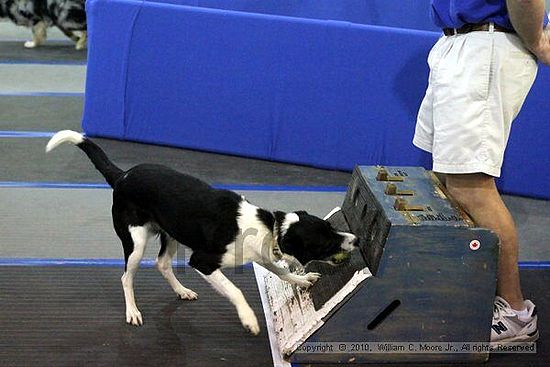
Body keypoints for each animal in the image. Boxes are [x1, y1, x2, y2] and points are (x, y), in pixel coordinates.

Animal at [46, 131, 358, 334]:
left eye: (332, 227)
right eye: (325, 241)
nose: (355, 239)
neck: (269, 228)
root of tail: (122, 176)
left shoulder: (262, 254)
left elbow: (280, 271)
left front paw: (301, 280)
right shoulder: (203, 262)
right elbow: (235, 290)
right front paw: (249, 319)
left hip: (171, 233)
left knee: (162, 263)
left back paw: (182, 291)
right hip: (135, 241)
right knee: (126, 277)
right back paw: (132, 311)